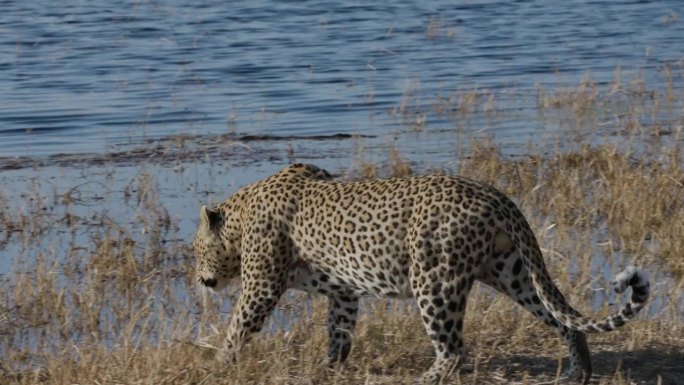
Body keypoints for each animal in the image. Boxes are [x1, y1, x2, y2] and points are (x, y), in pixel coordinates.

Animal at [191, 163, 648, 384]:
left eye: (195, 252)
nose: (199, 280)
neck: (241, 213)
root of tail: (495, 195)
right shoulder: (343, 291)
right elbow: (339, 329)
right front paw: (330, 366)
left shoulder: (262, 285)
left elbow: (238, 325)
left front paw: (219, 363)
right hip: (512, 272)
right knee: (561, 315)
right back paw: (579, 371)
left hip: (434, 280)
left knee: (453, 348)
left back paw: (424, 378)